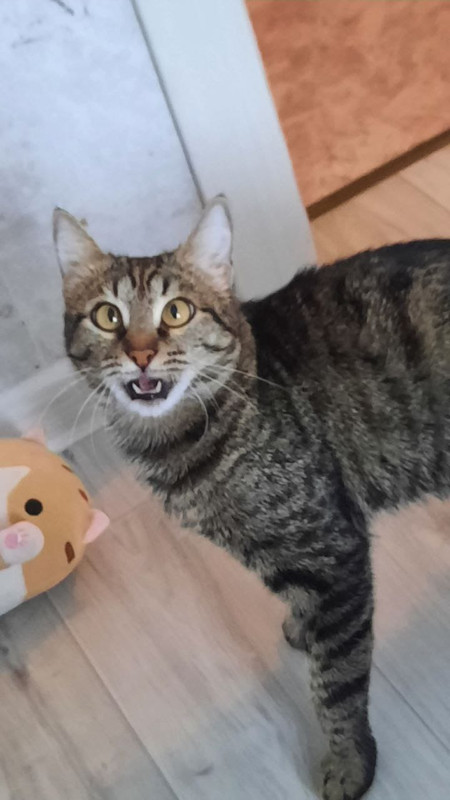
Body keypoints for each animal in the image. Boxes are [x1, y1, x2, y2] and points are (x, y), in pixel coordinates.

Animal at [54, 198, 450, 800]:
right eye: (107, 317)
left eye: (177, 312)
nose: (141, 354)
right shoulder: (272, 548)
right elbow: (301, 606)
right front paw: (303, 627)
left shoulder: (332, 551)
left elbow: (336, 683)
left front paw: (349, 761)